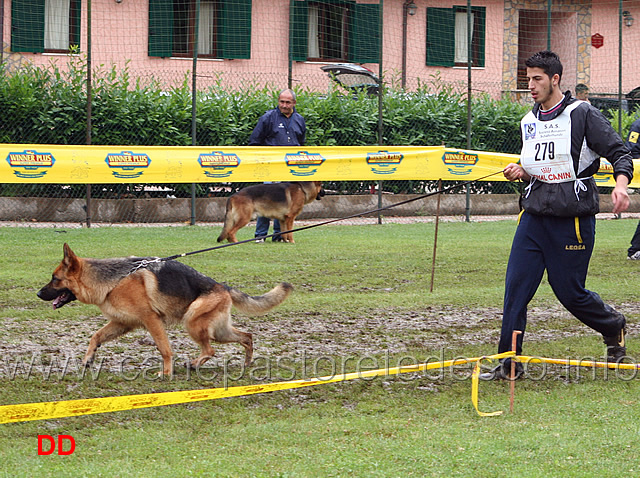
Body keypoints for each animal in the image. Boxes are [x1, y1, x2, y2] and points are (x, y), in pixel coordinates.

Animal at [37, 245, 292, 376]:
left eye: (55, 279)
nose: (38, 294)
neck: (113, 280)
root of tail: (223, 286)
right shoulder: (122, 323)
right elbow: (95, 336)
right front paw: (88, 359)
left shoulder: (151, 320)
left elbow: (164, 348)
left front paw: (166, 372)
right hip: (219, 331)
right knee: (246, 336)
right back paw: (246, 363)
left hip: (193, 323)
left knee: (210, 350)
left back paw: (194, 364)